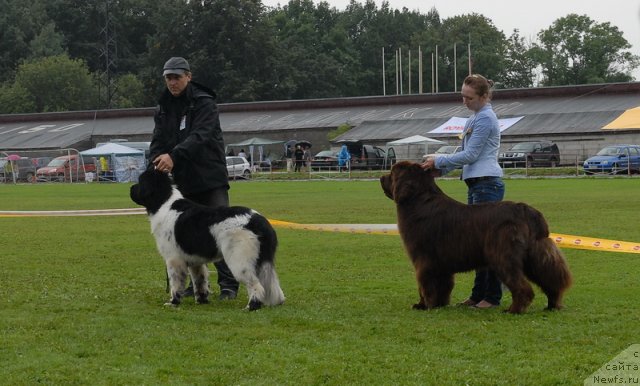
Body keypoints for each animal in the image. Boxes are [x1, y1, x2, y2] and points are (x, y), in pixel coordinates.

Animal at [130, 169, 284, 310]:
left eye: (140, 181)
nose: (130, 188)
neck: (163, 202)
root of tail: (259, 221)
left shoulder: (173, 259)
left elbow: (176, 283)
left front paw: (173, 302)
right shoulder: (195, 260)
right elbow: (200, 281)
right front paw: (202, 300)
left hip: (240, 260)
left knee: (256, 284)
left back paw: (252, 306)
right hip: (262, 259)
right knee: (270, 282)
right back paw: (276, 301)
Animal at [382, 161, 572, 314]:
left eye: (392, 173)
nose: (382, 177)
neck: (418, 200)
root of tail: (525, 209)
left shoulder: (423, 259)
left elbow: (424, 285)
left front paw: (424, 305)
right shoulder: (442, 263)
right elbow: (444, 285)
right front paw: (439, 304)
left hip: (503, 256)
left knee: (523, 287)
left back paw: (514, 310)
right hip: (535, 255)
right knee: (552, 280)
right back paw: (552, 305)